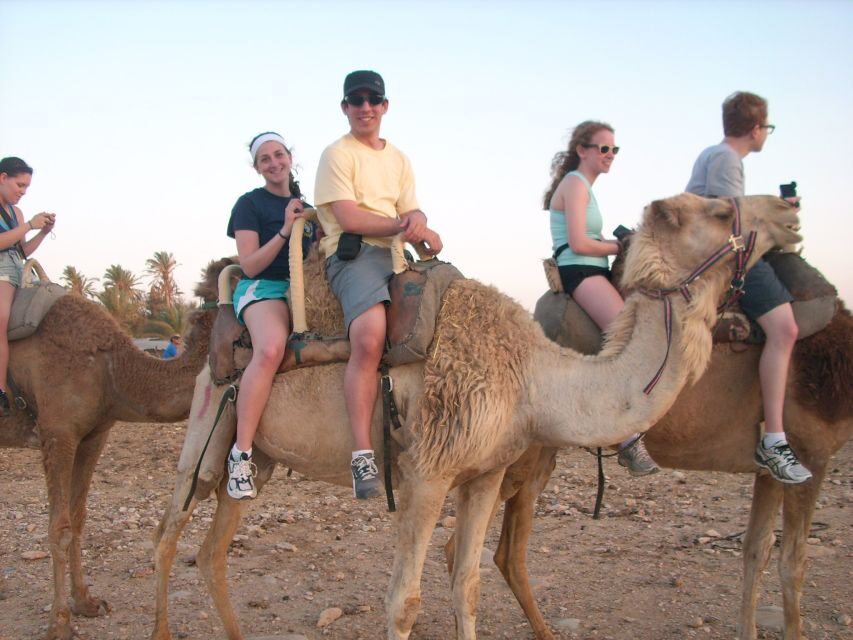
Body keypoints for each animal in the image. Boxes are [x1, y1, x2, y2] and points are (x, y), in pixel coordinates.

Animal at [1, 263, 221, 640]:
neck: (110, 367)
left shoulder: (94, 436)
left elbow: (77, 518)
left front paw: (87, 603)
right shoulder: (58, 433)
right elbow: (59, 528)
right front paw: (60, 623)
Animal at [151, 194, 802, 640]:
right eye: (718, 208)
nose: (790, 210)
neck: (531, 378)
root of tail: (220, 312)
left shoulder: (486, 474)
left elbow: (467, 584)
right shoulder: (427, 473)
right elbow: (404, 602)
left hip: (258, 456)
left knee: (213, 549)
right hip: (209, 423)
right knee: (168, 533)